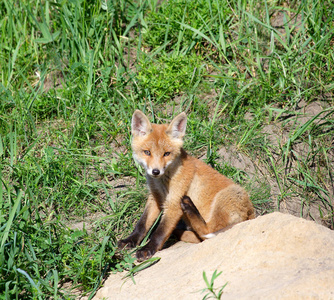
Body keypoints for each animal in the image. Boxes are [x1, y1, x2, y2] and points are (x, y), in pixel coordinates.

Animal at [118, 109, 254, 260]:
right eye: (147, 152)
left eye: (166, 154)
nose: (155, 171)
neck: (162, 181)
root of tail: (252, 212)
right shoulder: (155, 197)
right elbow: (142, 224)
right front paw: (130, 240)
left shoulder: (174, 202)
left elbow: (160, 232)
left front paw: (148, 248)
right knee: (200, 237)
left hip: (225, 198)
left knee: (208, 231)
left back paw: (189, 207)